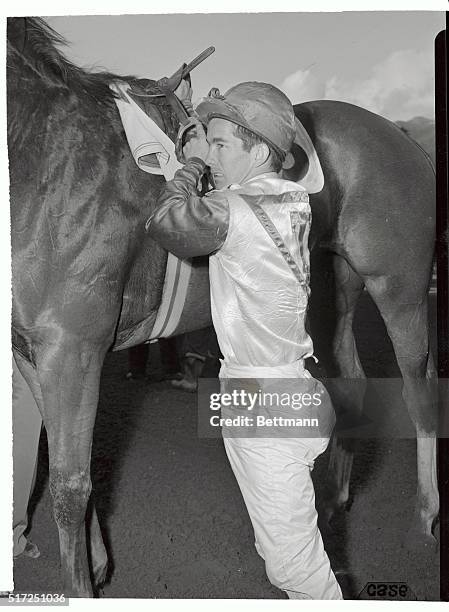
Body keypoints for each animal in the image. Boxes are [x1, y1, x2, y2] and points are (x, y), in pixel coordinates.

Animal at [7, 15, 434, 596]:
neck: (45, 154)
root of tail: (401, 135)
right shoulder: (33, 352)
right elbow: (67, 466)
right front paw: (96, 563)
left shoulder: (72, 349)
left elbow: (70, 488)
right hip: (326, 298)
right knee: (349, 382)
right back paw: (331, 501)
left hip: (400, 290)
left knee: (419, 395)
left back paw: (424, 521)